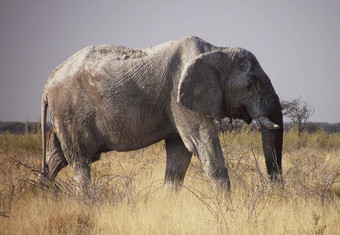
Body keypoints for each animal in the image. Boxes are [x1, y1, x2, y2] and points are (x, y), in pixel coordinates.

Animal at [40, 35, 284, 193]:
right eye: (250, 85)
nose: (273, 190)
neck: (216, 50)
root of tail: (48, 83)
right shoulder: (179, 97)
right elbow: (201, 142)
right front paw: (226, 209)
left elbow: (180, 154)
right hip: (71, 110)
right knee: (80, 160)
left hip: (64, 113)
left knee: (56, 157)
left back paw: (42, 193)